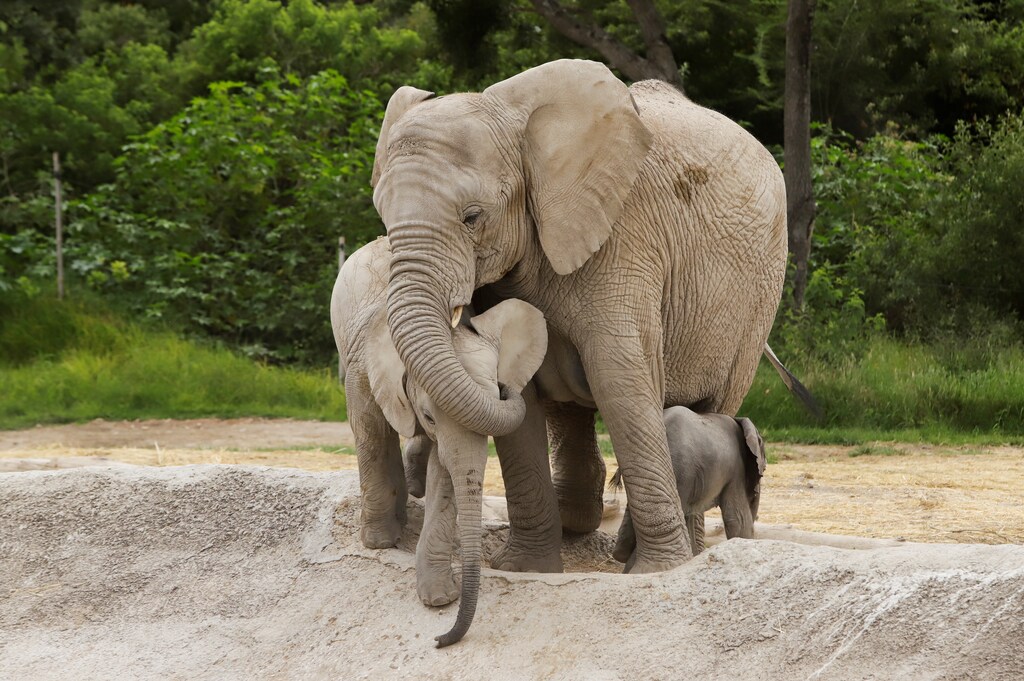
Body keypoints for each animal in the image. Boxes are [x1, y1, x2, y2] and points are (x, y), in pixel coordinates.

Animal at [331, 237, 560, 646]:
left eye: (497, 393)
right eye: (430, 415)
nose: (439, 639)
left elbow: (447, 473)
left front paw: (438, 598)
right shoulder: (362, 366)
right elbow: (370, 431)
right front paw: (378, 543)